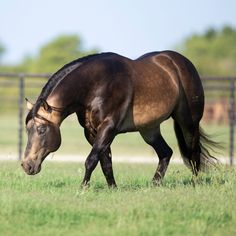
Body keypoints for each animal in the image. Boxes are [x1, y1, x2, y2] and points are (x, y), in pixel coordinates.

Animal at [21, 50, 217, 187]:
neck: (95, 85)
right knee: (166, 152)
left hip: (189, 123)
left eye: (41, 129)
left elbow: (91, 159)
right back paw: (154, 184)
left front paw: (83, 187)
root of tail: (182, 63)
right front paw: (112, 188)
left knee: (193, 153)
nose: (26, 165)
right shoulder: (92, 132)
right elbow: (105, 161)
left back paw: (195, 184)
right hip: (149, 129)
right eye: (27, 130)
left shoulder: (109, 127)